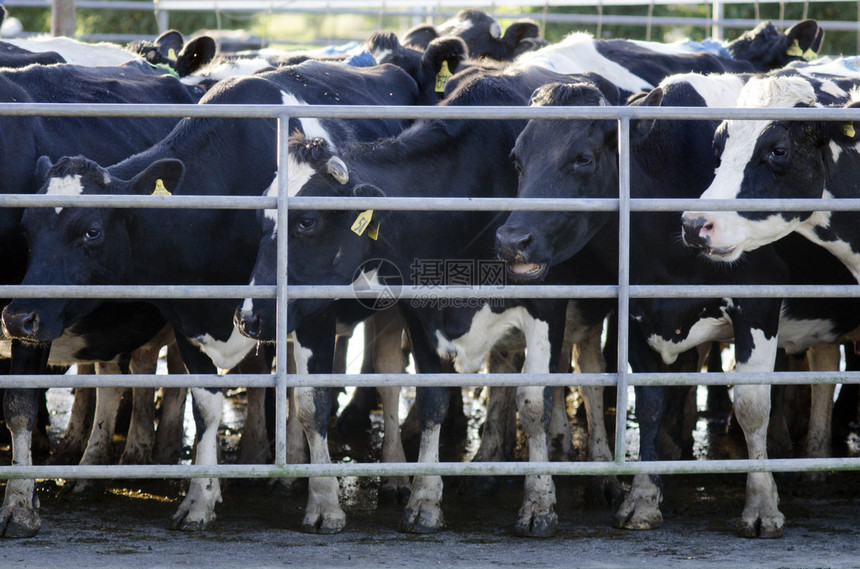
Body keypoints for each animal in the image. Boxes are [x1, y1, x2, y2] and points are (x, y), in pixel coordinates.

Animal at [0, 60, 424, 532]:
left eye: (91, 231)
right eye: (27, 229)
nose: (19, 317)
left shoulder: (312, 314)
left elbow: (313, 404)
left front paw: (326, 502)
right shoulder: (189, 317)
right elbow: (206, 406)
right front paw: (200, 499)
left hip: (388, 307)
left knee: (389, 376)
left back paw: (395, 477)